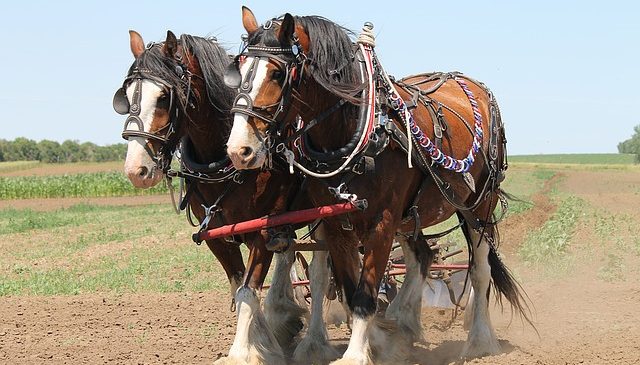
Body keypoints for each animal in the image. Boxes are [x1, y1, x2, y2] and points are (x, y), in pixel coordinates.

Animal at [115, 29, 336, 362]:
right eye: (126, 97)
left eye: (164, 97)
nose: (135, 170)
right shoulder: (217, 236)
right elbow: (239, 287)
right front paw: (265, 341)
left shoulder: (262, 230)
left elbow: (248, 291)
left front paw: (242, 352)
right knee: (288, 257)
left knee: (321, 274)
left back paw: (313, 343)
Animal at [228, 7, 532, 362]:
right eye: (239, 68)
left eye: (277, 74)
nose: (239, 149)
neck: (356, 131)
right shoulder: (337, 225)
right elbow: (350, 290)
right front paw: (379, 342)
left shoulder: (382, 223)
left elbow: (365, 294)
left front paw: (356, 355)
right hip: (413, 215)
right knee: (421, 258)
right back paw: (403, 322)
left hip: (479, 204)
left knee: (480, 268)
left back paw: (479, 340)